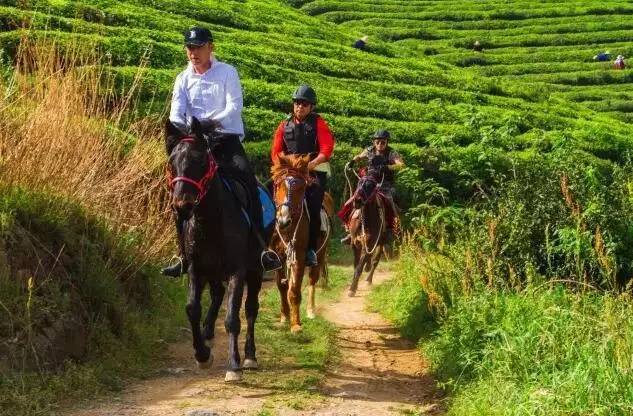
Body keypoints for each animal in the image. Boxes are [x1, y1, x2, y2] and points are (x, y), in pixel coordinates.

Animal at [165, 118, 262, 382]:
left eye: (200, 161)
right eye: (172, 163)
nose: (183, 206)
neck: (211, 219)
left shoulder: (238, 271)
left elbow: (232, 318)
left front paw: (234, 365)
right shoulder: (195, 268)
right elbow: (192, 309)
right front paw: (202, 355)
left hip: (256, 271)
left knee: (251, 309)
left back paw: (250, 356)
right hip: (213, 271)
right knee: (217, 294)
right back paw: (208, 334)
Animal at [270, 154, 334, 334]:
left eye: (300, 188)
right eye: (279, 185)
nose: (283, 221)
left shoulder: (298, 256)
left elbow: (294, 291)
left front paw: (296, 324)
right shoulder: (278, 257)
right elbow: (282, 286)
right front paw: (284, 317)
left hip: (320, 255)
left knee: (312, 279)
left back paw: (311, 310)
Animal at [346, 167, 386, 298]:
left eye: (370, 186)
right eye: (359, 183)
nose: (357, 201)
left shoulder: (369, 243)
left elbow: (360, 266)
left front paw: (352, 288)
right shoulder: (355, 244)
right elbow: (356, 266)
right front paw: (354, 286)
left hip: (381, 242)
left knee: (375, 261)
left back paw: (369, 278)